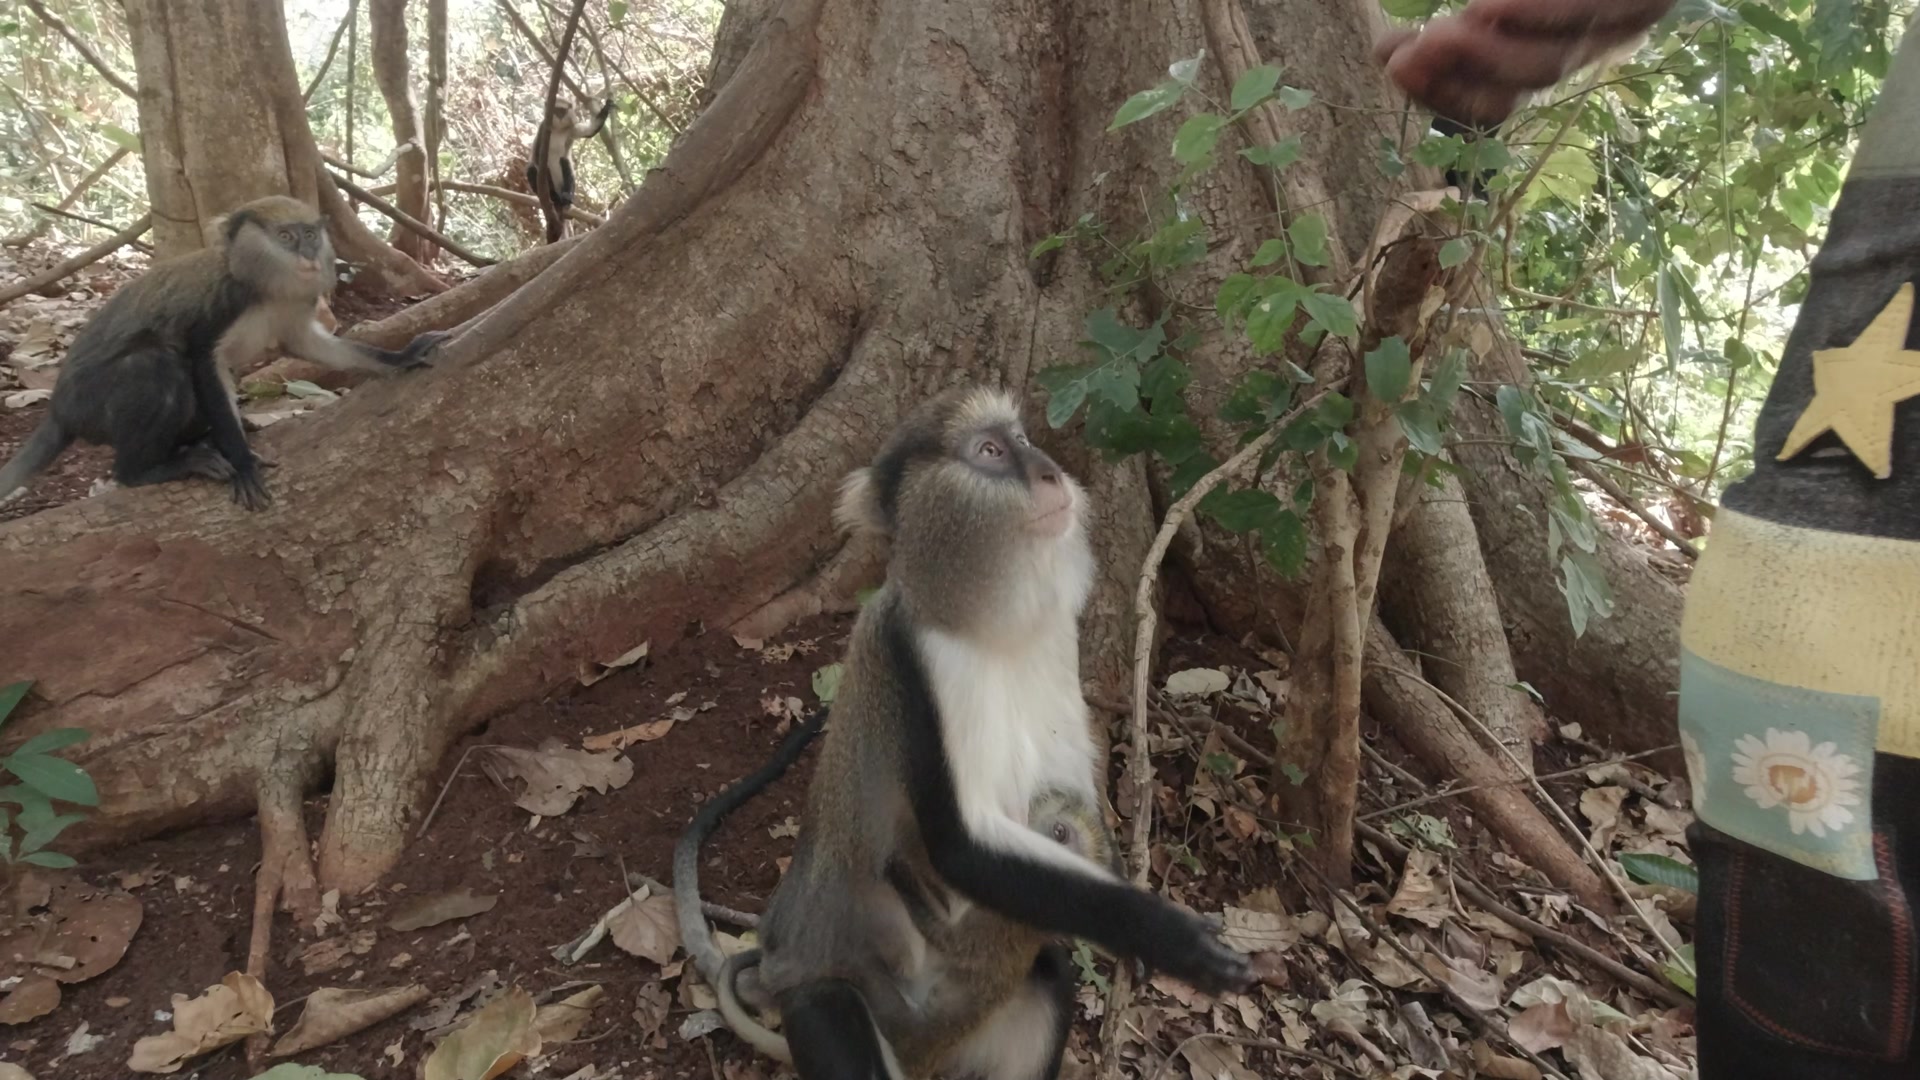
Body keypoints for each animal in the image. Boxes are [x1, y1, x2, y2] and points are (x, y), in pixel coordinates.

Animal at [0, 194, 445, 511]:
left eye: (309, 235)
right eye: (285, 237)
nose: (306, 256)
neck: (264, 284)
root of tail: (59, 409)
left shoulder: (298, 305)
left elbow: (308, 345)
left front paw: (402, 357)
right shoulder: (225, 304)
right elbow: (203, 361)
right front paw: (244, 462)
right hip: (92, 403)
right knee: (154, 365)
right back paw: (148, 470)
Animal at [679, 388, 1259, 1076]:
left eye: (1023, 439)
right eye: (990, 452)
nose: (1050, 472)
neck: (988, 628)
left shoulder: (1057, 637)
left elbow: (1073, 793)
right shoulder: (922, 660)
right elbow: (961, 846)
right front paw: (1165, 935)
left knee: (1048, 975)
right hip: (838, 999)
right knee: (828, 1002)